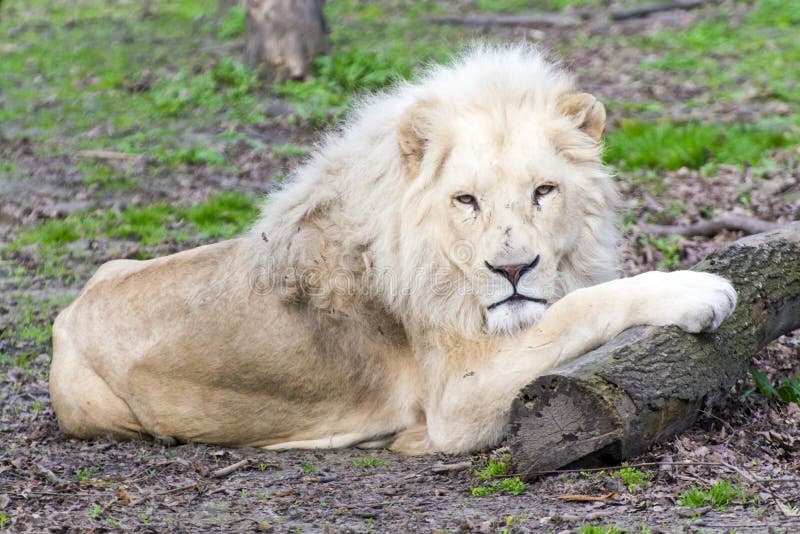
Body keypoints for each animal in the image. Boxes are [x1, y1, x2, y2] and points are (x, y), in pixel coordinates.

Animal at [51, 45, 736, 456]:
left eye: (544, 191)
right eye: (466, 200)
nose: (513, 269)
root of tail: (66, 314)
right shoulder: (456, 401)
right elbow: (579, 307)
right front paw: (695, 289)